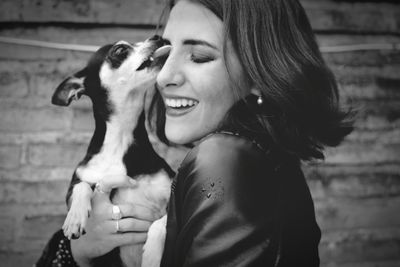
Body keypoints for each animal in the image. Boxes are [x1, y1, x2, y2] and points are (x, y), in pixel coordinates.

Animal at [51, 35, 173, 267]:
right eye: (120, 50)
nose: (157, 37)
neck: (120, 138)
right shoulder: (78, 181)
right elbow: (83, 186)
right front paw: (75, 218)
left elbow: (160, 224)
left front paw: (152, 254)